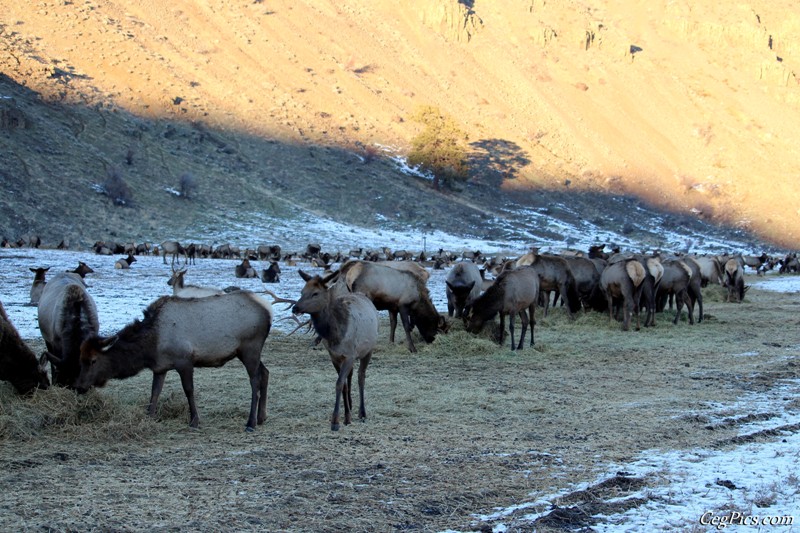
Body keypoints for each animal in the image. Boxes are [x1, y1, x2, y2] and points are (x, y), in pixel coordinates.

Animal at [76, 290, 274, 432]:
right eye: (81, 359)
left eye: (93, 360)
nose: (79, 387)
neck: (152, 345)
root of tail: (269, 311)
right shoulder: (160, 367)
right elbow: (155, 392)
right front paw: (149, 416)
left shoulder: (184, 360)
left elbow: (189, 390)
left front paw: (194, 420)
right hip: (246, 352)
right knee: (265, 372)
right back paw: (262, 417)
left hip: (250, 348)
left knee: (255, 380)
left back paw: (251, 422)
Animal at [292, 272, 380, 430]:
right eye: (302, 292)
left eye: (315, 293)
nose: (295, 308)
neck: (335, 334)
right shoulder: (334, 356)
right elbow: (343, 384)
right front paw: (346, 417)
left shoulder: (350, 354)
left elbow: (339, 383)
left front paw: (336, 421)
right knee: (351, 375)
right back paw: (350, 404)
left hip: (368, 349)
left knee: (361, 376)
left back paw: (362, 413)